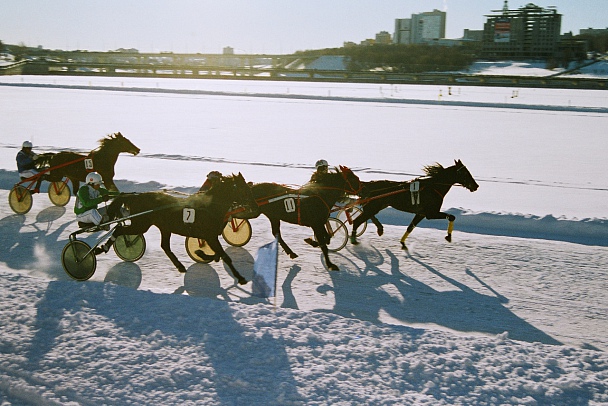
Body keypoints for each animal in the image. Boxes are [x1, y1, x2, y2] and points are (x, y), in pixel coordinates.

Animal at [106, 173, 256, 284]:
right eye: (244, 189)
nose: (253, 204)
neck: (210, 207)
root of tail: (136, 197)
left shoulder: (211, 236)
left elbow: (218, 255)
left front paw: (200, 253)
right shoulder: (210, 236)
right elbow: (224, 256)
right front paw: (240, 278)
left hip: (164, 228)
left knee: (165, 246)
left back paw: (180, 266)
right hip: (141, 225)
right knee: (119, 231)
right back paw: (107, 246)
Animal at [352, 160, 480, 249]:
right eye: (465, 173)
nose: (476, 186)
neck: (433, 187)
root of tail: (368, 185)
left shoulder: (421, 214)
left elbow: (410, 227)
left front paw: (403, 243)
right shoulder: (430, 213)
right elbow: (452, 216)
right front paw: (448, 236)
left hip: (376, 206)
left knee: (365, 218)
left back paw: (379, 229)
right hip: (373, 207)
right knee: (357, 221)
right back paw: (354, 239)